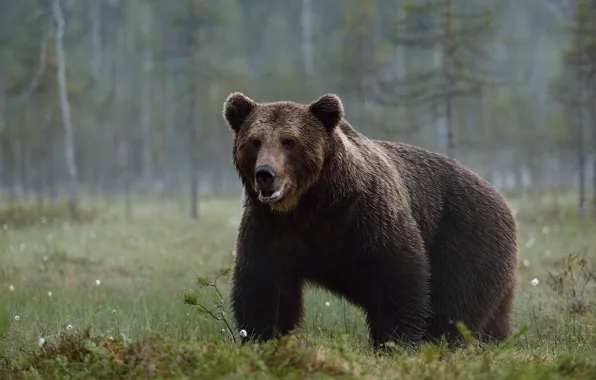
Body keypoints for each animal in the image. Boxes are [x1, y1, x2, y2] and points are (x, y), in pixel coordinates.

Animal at [222, 91, 516, 350]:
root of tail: (502, 199)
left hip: (466, 235)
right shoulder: (271, 229)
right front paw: (262, 338)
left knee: (457, 301)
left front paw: (394, 343)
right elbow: (265, 290)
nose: (265, 174)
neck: (310, 204)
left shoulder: (367, 218)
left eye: (289, 141)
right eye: (255, 141)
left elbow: (397, 280)